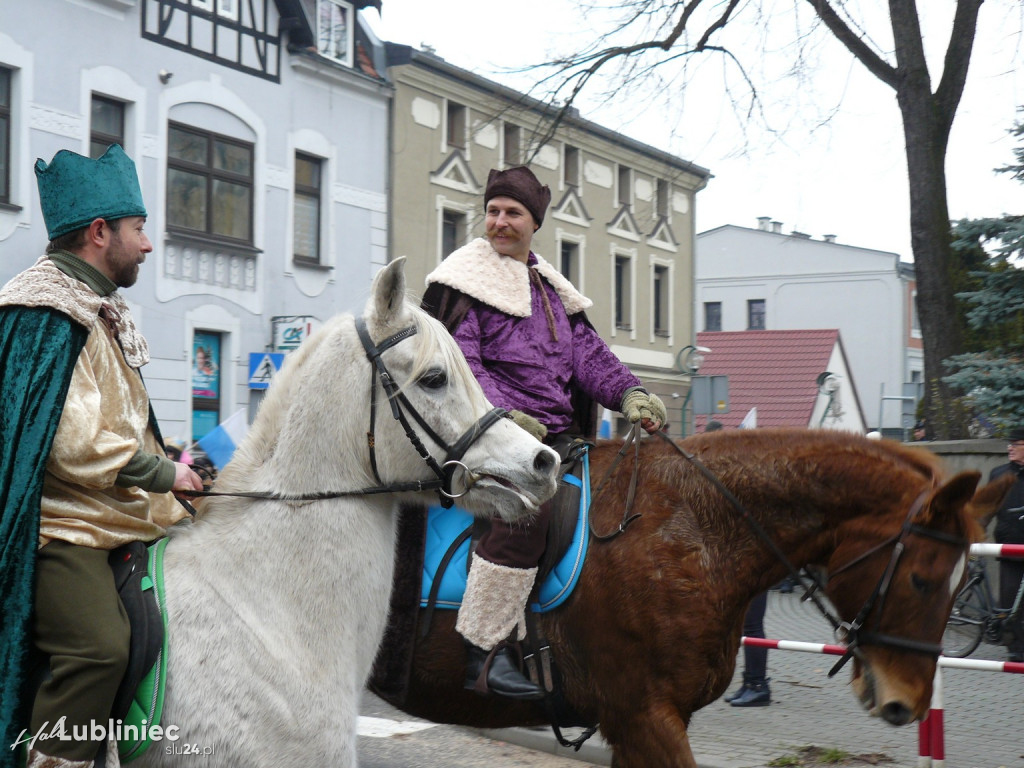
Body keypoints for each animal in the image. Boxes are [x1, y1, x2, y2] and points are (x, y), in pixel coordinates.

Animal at [380, 430, 1011, 765]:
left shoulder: (639, 725)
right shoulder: (644, 718)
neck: (688, 532)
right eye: (922, 579)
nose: (907, 703)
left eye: (960, 586)